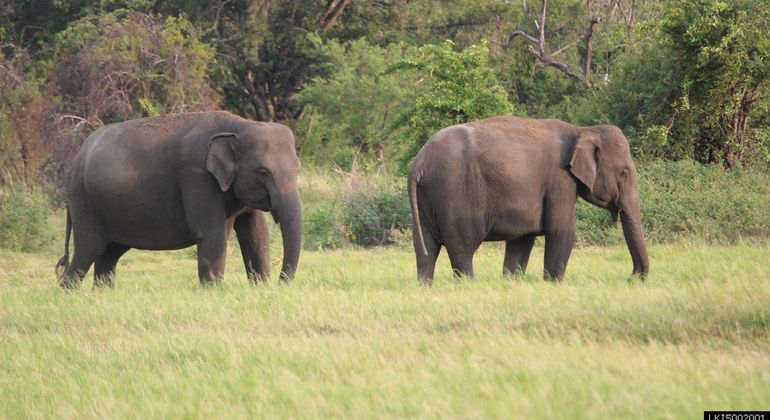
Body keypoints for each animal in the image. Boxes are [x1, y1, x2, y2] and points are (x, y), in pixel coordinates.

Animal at [55, 109, 302, 288]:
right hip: (84, 201)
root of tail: (76, 158)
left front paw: (260, 287)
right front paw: (213, 291)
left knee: (108, 255)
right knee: (88, 250)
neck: (239, 125)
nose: (281, 283)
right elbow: (211, 234)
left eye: (298, 167)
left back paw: (102, 293)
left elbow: (256, 234)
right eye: (263, 172)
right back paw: (68, 293)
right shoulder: (197, 178)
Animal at [408, 116, 648, 284]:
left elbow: (522, 240)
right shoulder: (560, 180)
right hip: (455, 195)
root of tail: (419, 162)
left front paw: (512, 282)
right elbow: (562, 232)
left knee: (425, 251)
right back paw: (470, 286)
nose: (632, 278)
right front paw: (553, 284)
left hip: (426, 200)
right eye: (625, 173)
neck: (581, 130)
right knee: (463, 248)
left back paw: (426, 287)